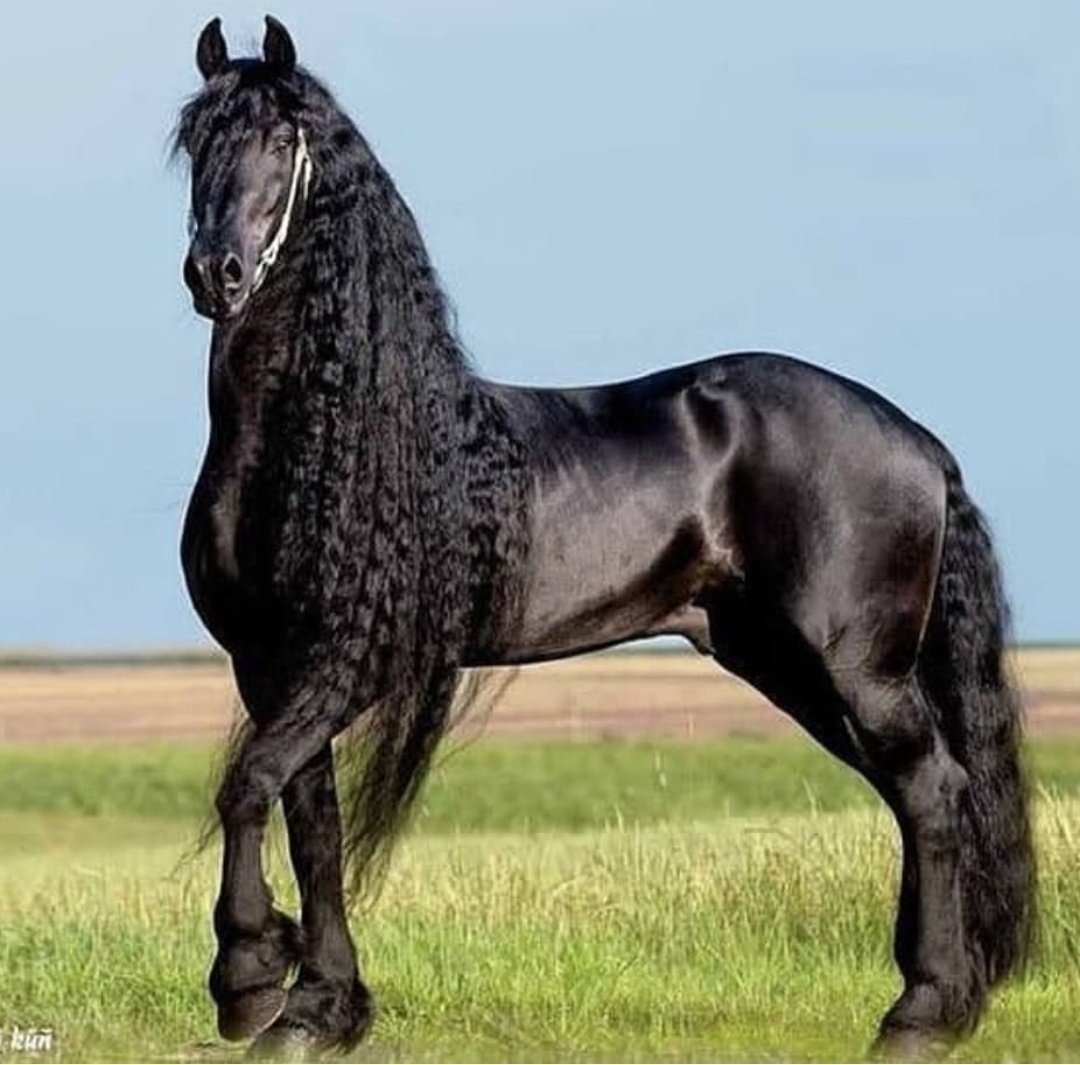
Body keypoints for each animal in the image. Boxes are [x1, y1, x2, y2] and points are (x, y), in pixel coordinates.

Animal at [175, 16, 1034, 1058]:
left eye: (282, 141)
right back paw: (939, 995)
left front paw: (248, 979)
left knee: (935, 788)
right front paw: (316, 1008)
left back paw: (921, 1013)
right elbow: (312, 824)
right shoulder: (272, 663)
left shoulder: (347, 660)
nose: (214, 273)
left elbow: (248, 783)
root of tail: (920, 443)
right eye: (195, 143)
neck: (326, 437)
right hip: (786, 665)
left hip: (857, 667)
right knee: (912, 794)